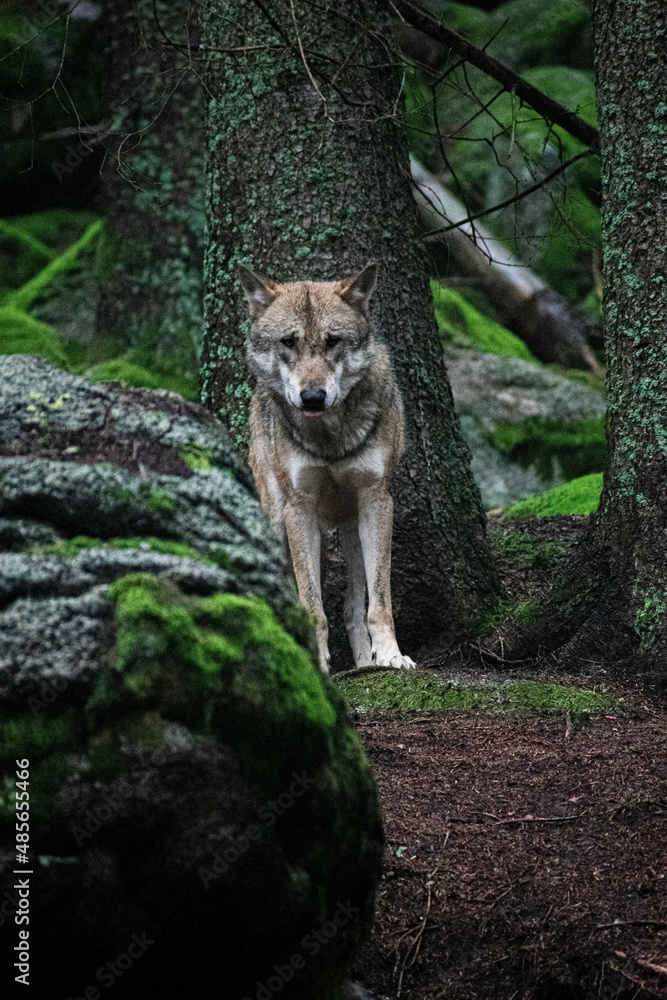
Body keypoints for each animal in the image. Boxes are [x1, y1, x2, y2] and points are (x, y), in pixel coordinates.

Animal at [240, 261, 416, 674]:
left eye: (333, 341)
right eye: (288, 342)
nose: (313, 397)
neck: (331, 440)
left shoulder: (376, 500)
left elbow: (379, 602)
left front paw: (390, 655)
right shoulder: (298, 508)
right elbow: (312, 606)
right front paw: (318, 667)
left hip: (352, 529)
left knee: (353, 607)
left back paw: (365, 663)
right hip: (279, 523)